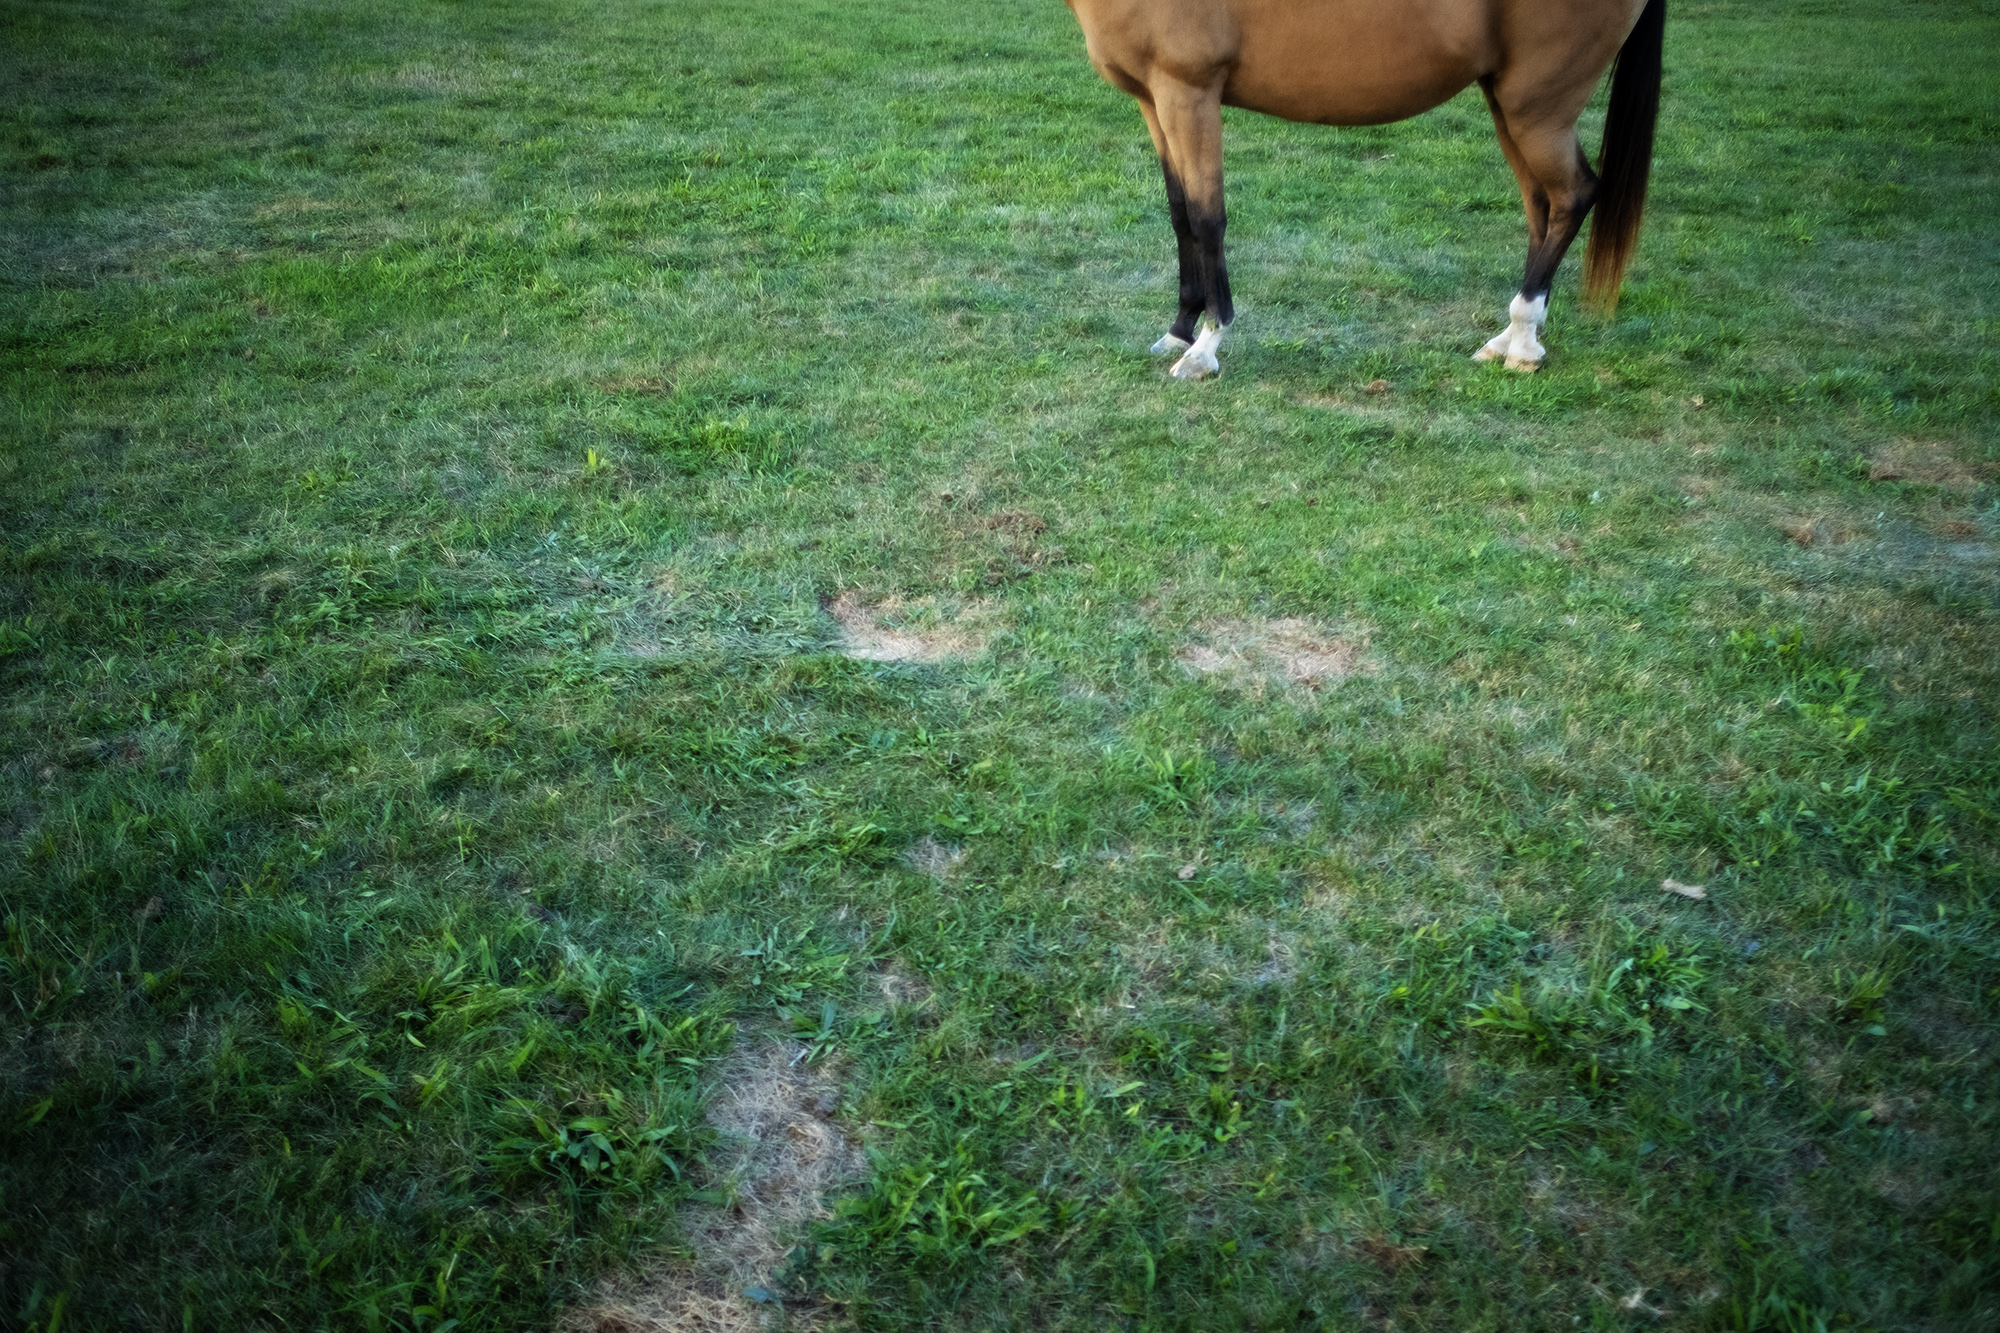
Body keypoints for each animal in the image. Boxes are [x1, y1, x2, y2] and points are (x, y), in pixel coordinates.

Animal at [1064, 0, 1672, 378]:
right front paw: (1179, 330)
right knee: (1541, 209)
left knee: (1573, 196)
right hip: (1509, 107)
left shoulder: (1189, 94)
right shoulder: (1154, 99)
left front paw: (1207, 346)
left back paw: (1522, 341)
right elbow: (1181, 213)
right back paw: (1510, 337)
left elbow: (1208, 218)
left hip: (1539, 112)